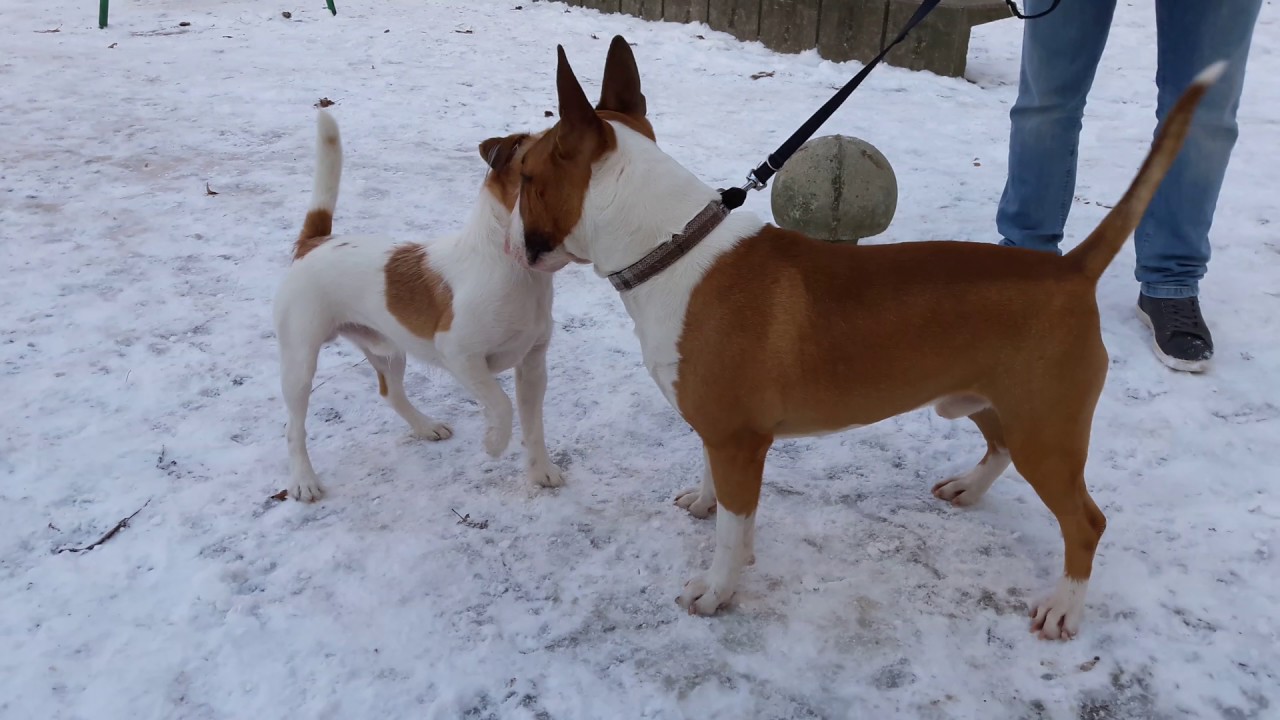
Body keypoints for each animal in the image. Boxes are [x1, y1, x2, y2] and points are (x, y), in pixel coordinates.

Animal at [275, 112, 560, 499]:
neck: (513, 269)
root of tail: (315, 242)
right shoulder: (460, 355)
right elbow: (501, 405)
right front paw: (494, 443)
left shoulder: (532, 364)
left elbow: (534, 426)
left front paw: (540, 470)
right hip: (300, 361)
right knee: (294, 427)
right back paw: (303, 480)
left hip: (388, 350)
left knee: (392, 393)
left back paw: (425, 426)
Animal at [504, 36, 1223, 635]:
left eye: (526, 179)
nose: (510, 240)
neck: (672, 245)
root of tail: (1070, 267)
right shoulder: (720, 430)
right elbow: (719, 493)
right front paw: (706, 506)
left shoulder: (738, 439)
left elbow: (735, 530)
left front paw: (717, 590)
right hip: (993, 401)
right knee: (1000, 449)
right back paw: (968, 489)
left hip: (1046, 427)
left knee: (1085, 521)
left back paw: (1063, 606)